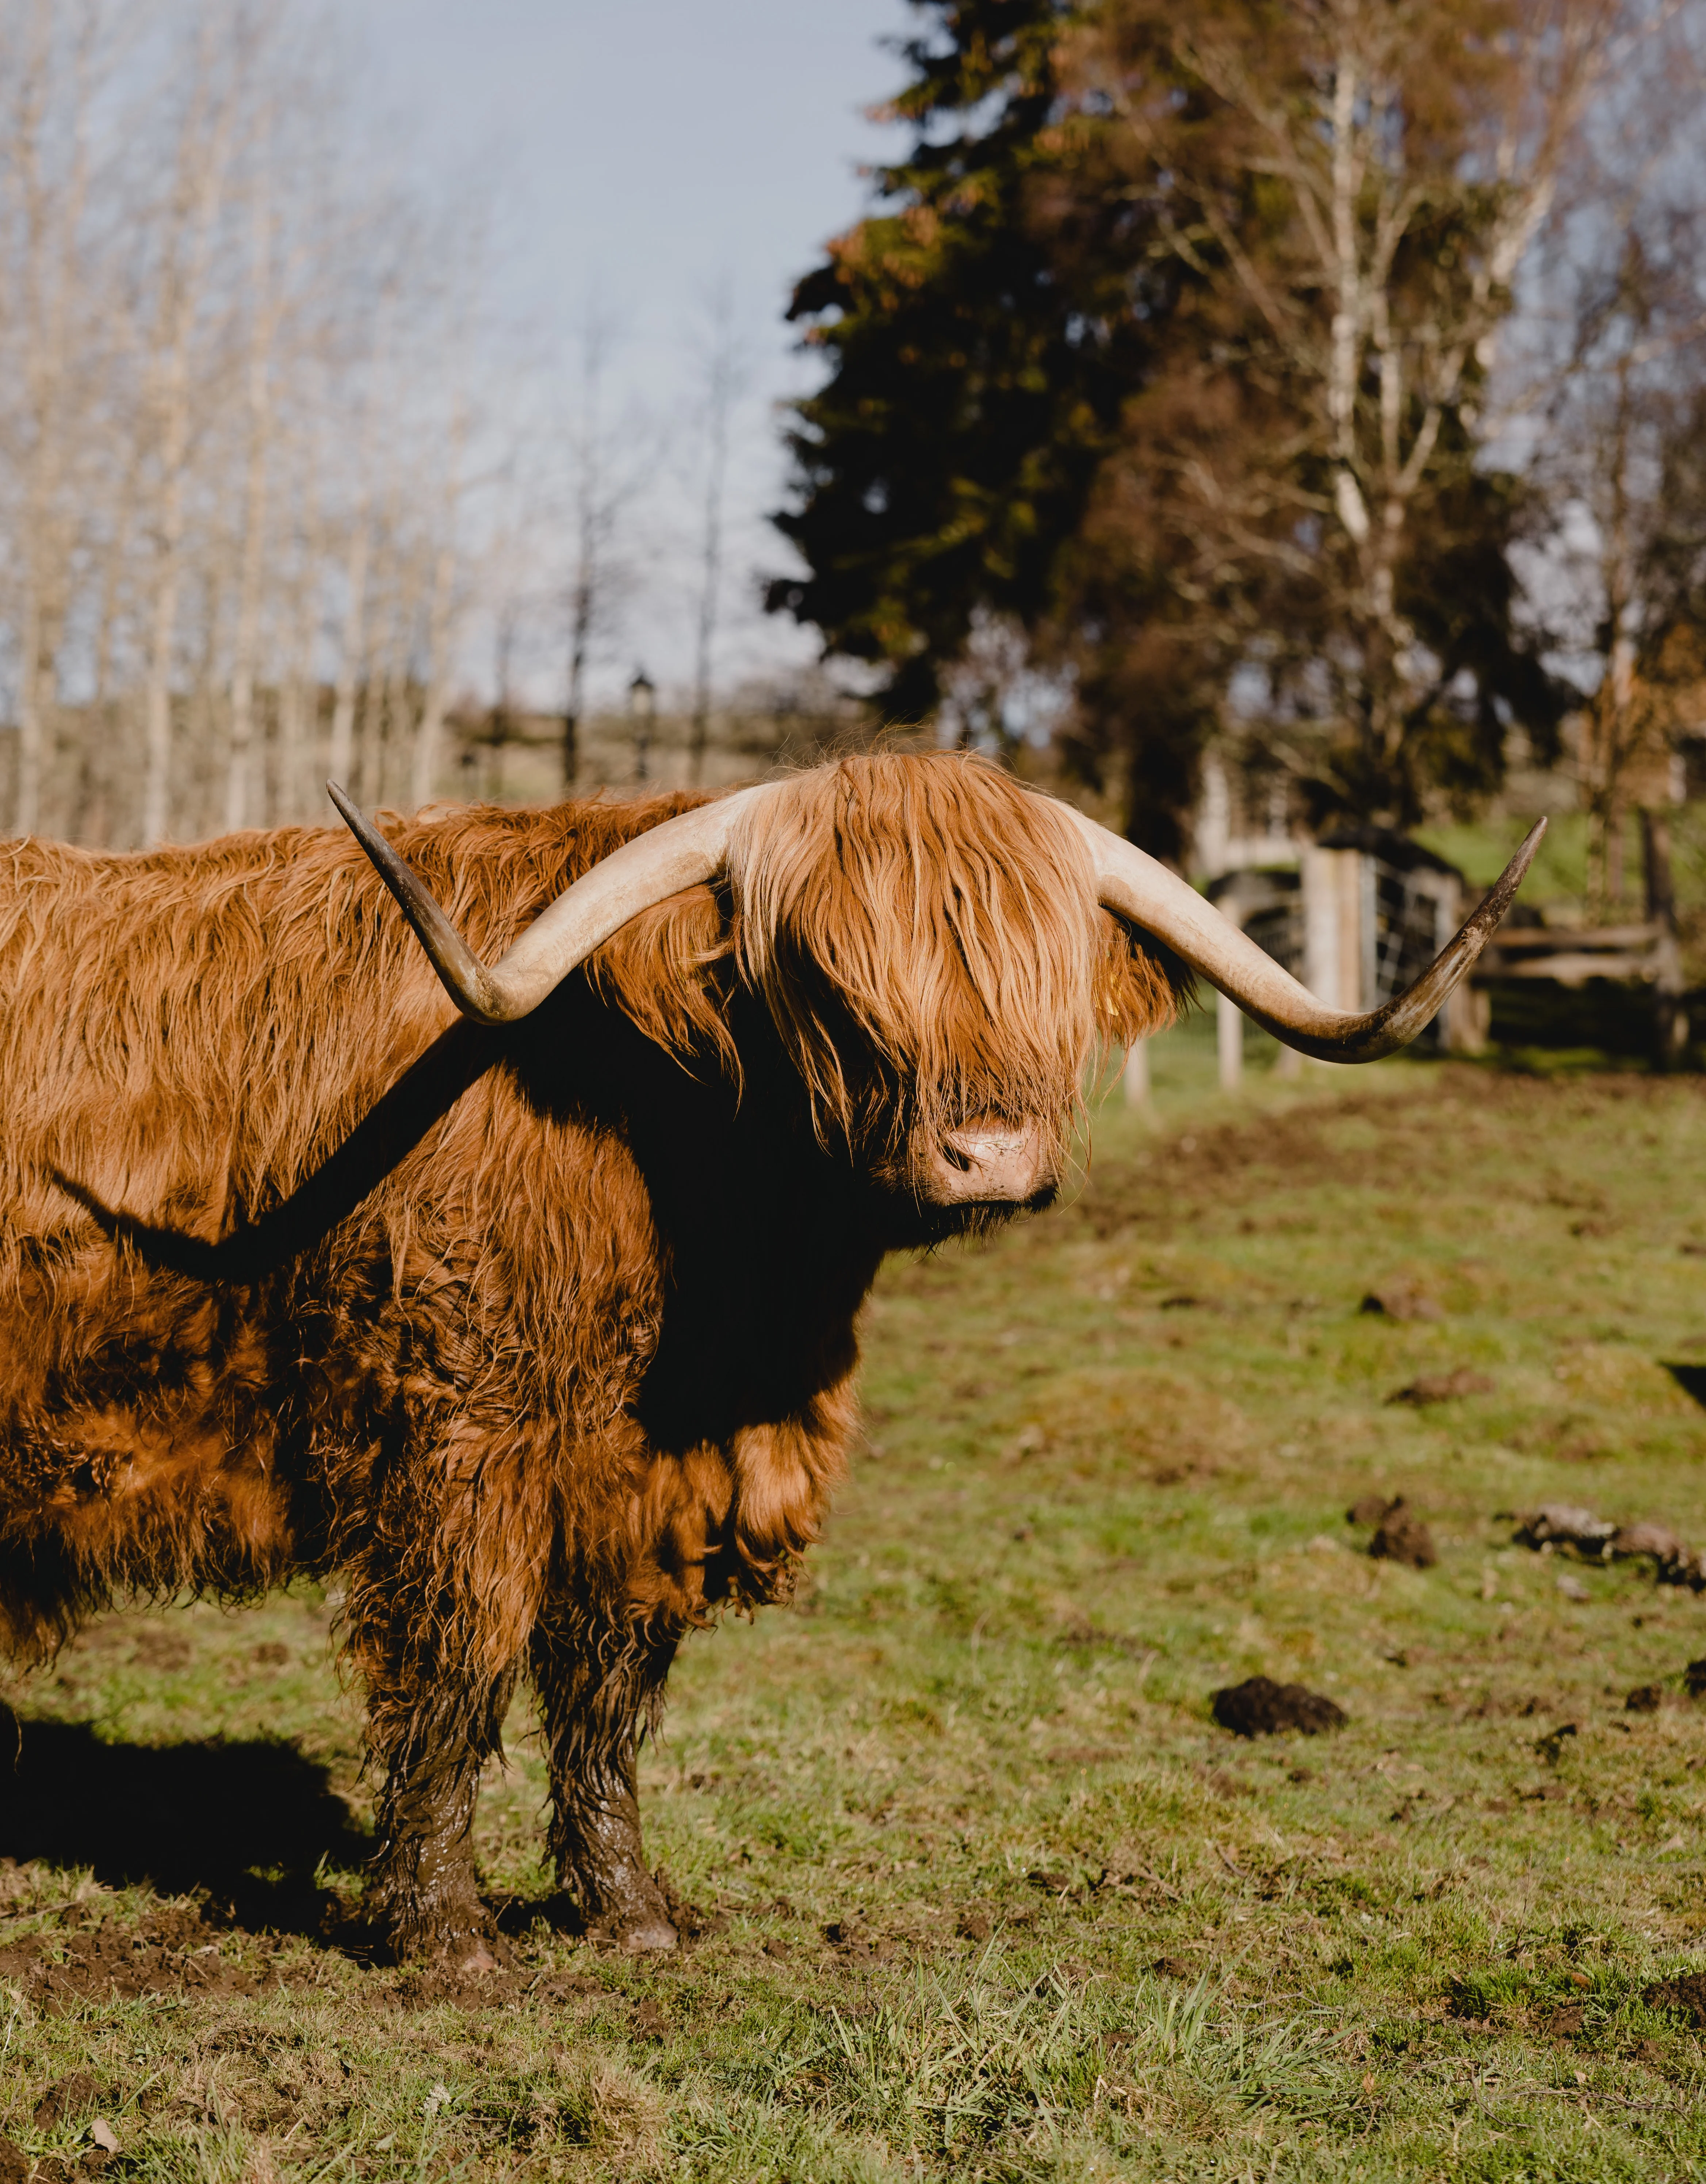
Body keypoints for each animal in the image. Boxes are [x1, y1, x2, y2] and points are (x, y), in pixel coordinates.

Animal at [0, 752, 1540, 1963]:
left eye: (1041, 973)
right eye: (829, 982)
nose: (991, 1153)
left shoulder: (645, 1479)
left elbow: (608, 1697)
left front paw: (631, 1913)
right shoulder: (454, 1438)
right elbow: (456, 1672)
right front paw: (443, 1934)